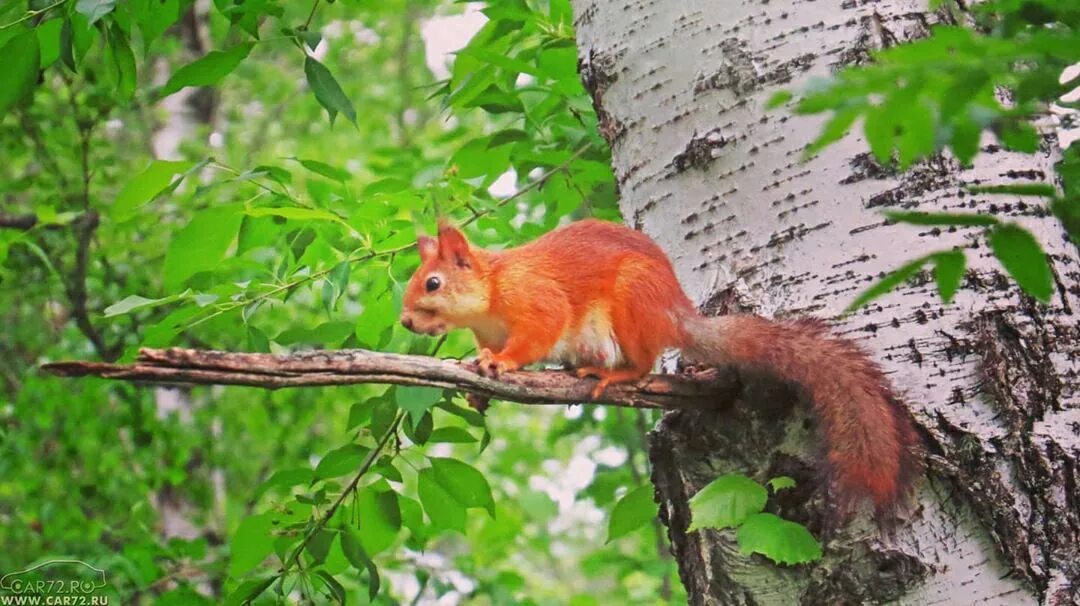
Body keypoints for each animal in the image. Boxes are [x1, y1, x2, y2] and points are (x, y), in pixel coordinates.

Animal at [401, 217, 924, 509]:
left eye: (432, 283)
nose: (405, 321)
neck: (490, 295)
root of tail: (676, 311)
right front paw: (477, 382)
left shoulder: (538, 301)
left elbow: (537, 336)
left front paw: (503, 364)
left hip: (632, 305)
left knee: (644, 360)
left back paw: (612, 373)